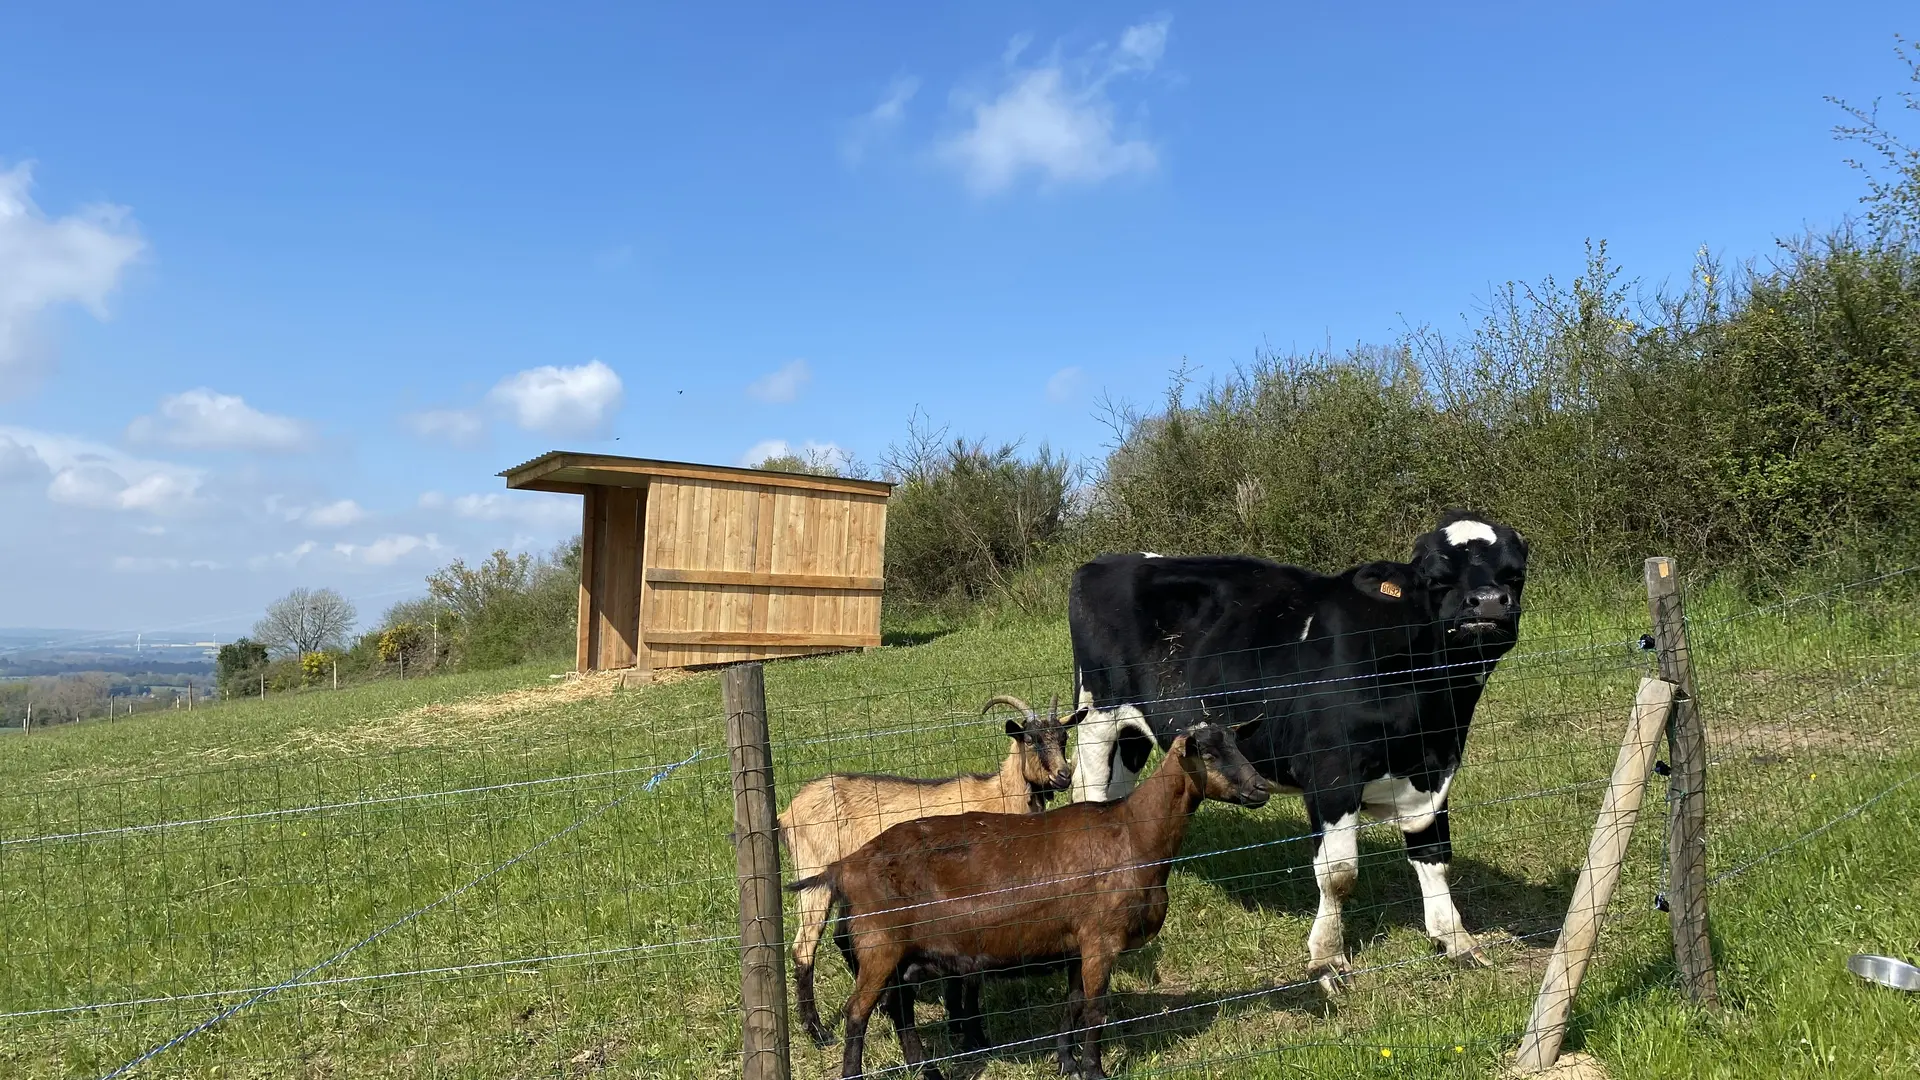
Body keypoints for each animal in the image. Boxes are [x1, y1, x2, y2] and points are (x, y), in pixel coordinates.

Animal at [779, 687, 1082, 1045]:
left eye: (1063, 737)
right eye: (1032, 739)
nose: (1063, 776)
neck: (998, 796)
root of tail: (789, 812)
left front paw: (958, 1023)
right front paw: (969, 1031)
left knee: (841, 937)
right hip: (814, 873)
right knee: (804, 947)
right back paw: (818, 1032)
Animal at [802, 718, 1267, 1076]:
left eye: (1237, 745)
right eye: (1208, 755)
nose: (1261, 788)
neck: (1134, 834)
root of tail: (845, 866)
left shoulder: (1078, 944)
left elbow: (1073, 1006)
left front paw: (1067, 1063)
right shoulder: (1102, 939)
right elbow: (1095, 1012)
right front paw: (1094, 1070)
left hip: (901, 955)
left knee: (900, 1012)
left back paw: (928, 1071)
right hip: (879, 946)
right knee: (858, 1013)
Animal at [1067, 511, 1528, 983]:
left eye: (1514, 574)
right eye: (1436, 578)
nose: (1488, 603)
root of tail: (1108, 560)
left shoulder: (1435, 768)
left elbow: (1435, 857)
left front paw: (1456, 941)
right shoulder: (1332, 775)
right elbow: (1338, 874)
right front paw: (1327, 959)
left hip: (1134, 730)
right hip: (1099, 714)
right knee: (1089, 792)